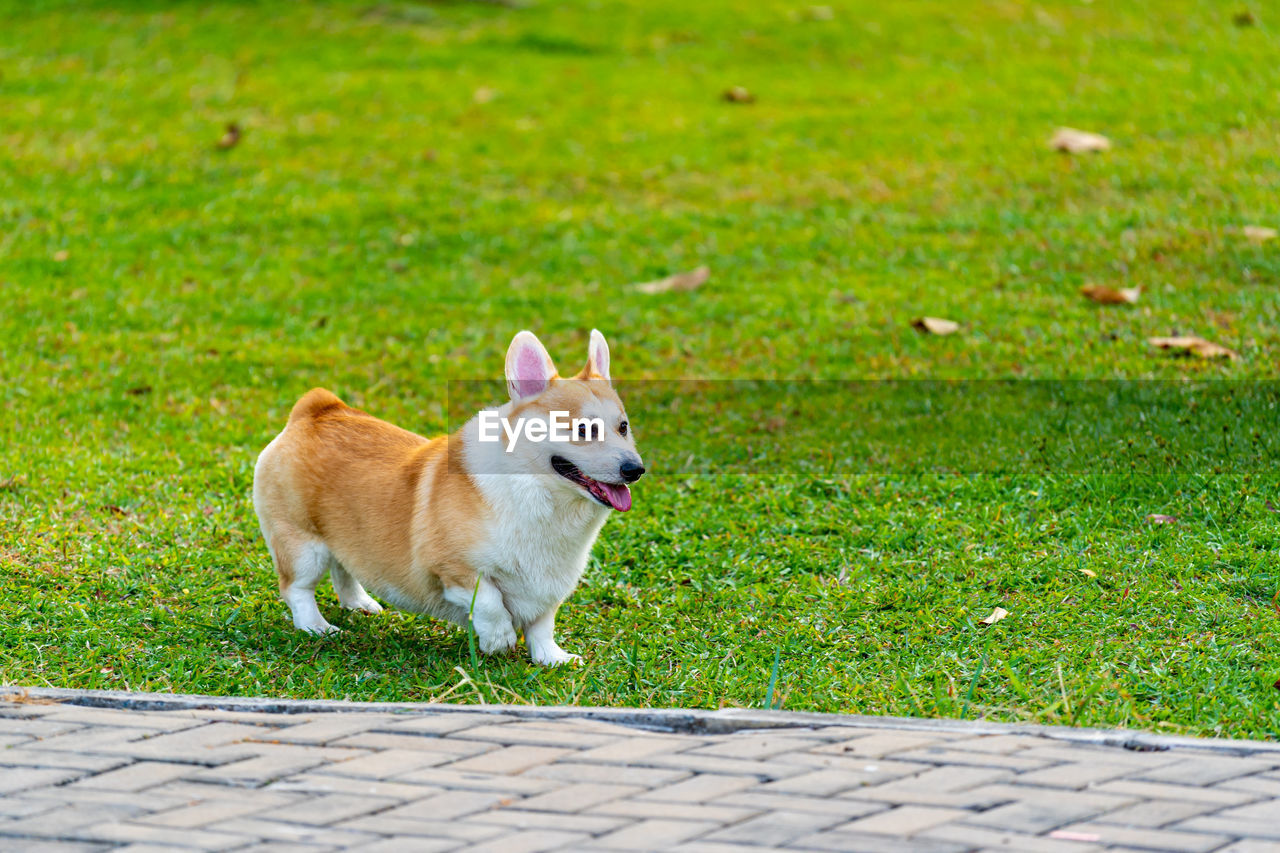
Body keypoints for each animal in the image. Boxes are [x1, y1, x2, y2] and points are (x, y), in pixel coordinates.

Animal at [250, 326, 645, 666]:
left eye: (623, 427)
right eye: (584, 429)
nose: (635, 469)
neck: (538, 493)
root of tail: (317, 408)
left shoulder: (546, 589)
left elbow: (541, 627)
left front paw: (552, 658)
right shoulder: (454, 569)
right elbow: (489, 601)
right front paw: (498, 639)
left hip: (342, 535)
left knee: (344, 567)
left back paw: (360, 603)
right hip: (303, 545)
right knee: (297, 589)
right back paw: (318, 627)